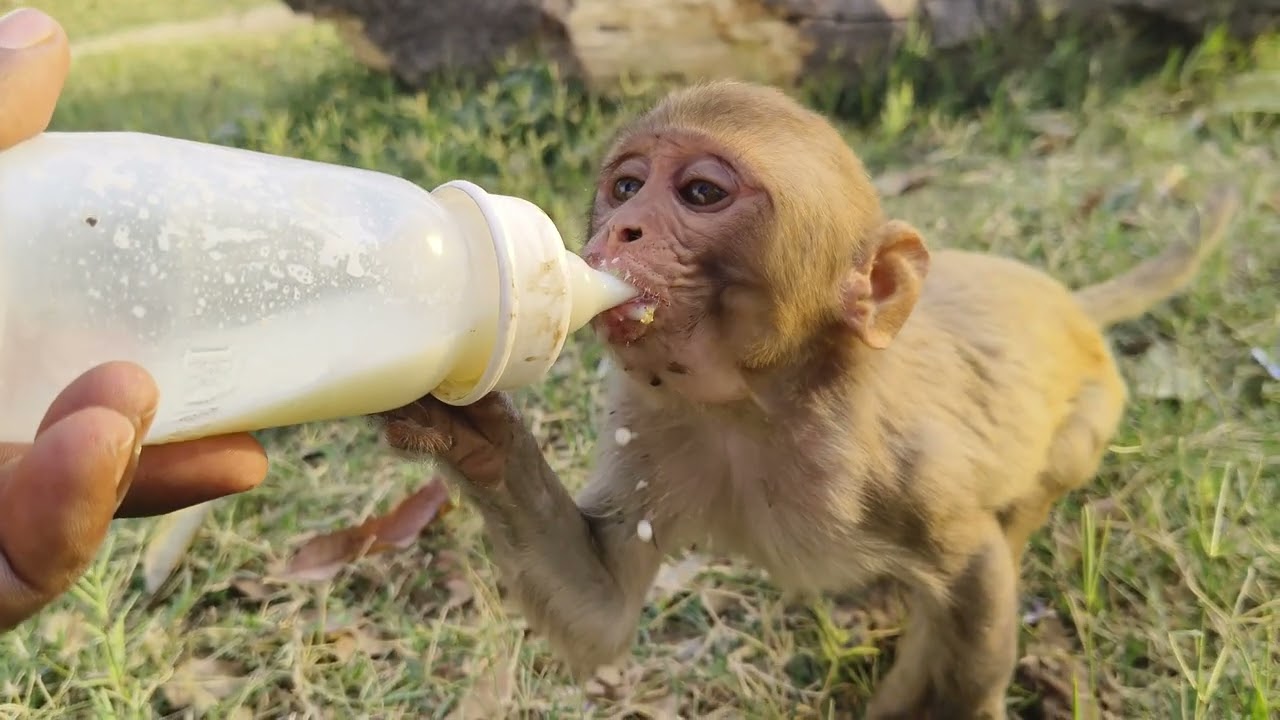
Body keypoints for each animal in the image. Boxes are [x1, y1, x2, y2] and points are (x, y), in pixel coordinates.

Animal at [373, 81, 1239, 719]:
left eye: (700, 191)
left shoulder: (902, 460)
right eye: (625, 186)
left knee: (1020, 514)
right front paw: (467, 424)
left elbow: (975, 568)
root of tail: (1069, 306)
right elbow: (604, 617)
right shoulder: (646, 422)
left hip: (1093, 414)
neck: (757, 406)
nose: (619, 231)